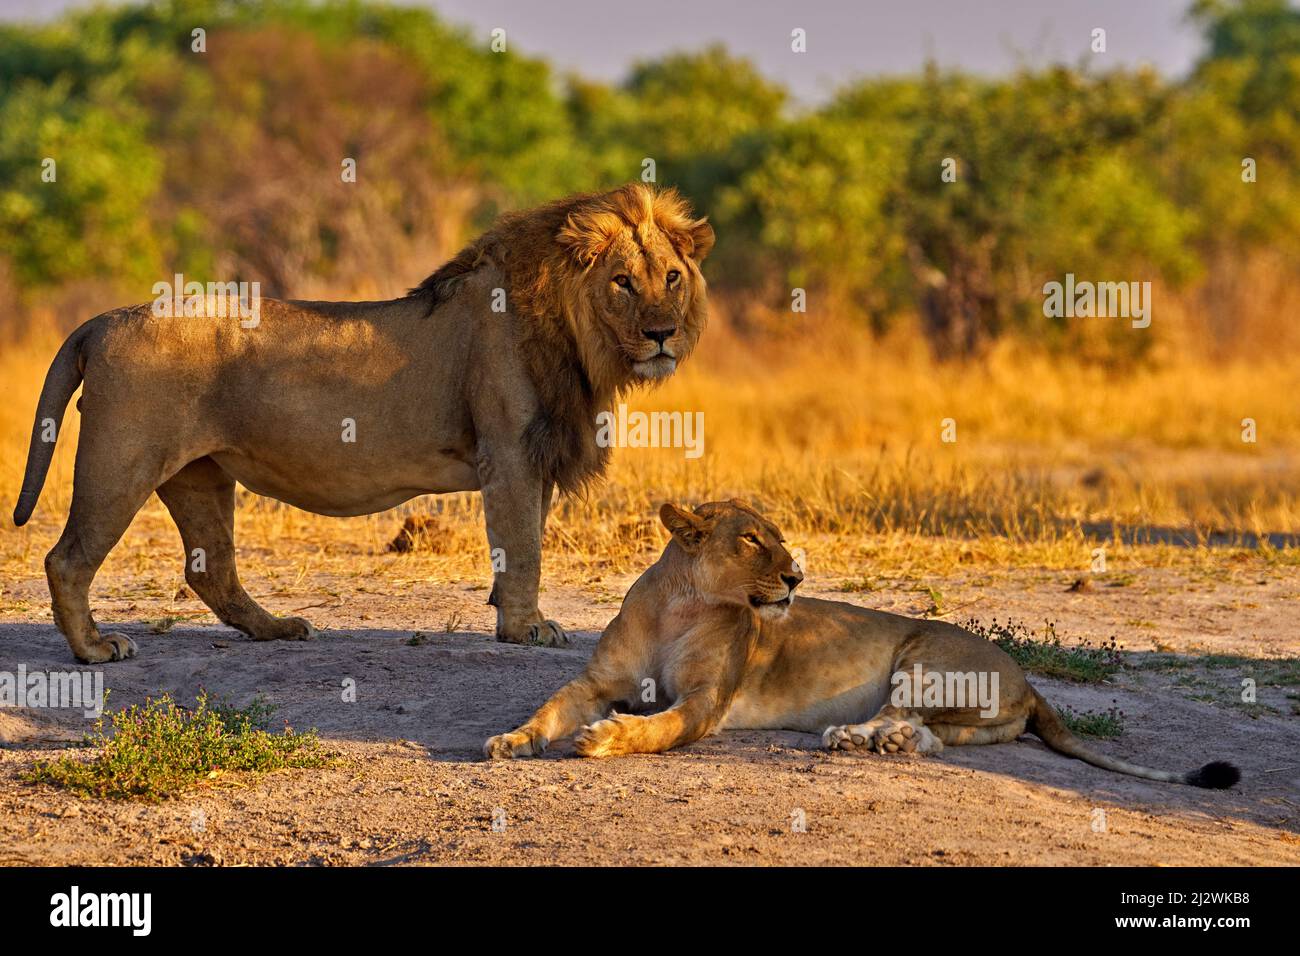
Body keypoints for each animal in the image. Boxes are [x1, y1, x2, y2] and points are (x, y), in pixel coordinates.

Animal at [12, 184, 712, 665]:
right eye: (622, 282)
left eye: (672, 277)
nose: (662, 334)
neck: (577, 335)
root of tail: (105, 319)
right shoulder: (511, 453)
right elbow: (525, 549)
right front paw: (528, 630)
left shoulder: (534, 458)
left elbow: (525, 544)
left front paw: (510, 618)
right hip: (121, 462)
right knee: (67, 558)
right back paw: (94, 649)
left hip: (198, 474)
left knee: (209, 569)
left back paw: (277, 629)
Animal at [486, 502, 1237, 790]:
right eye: (752, 540)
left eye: (780, 539)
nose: (797, 576)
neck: (683, 605)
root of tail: (1028, 679)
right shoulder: (594, 681)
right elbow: (552, 705)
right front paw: (513, 741)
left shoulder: (705, 703)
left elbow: (658, 726)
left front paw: (605, 739)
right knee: (934, 736)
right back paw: (878, 742)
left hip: (923, 655)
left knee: (906, 716)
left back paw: (854, 738)